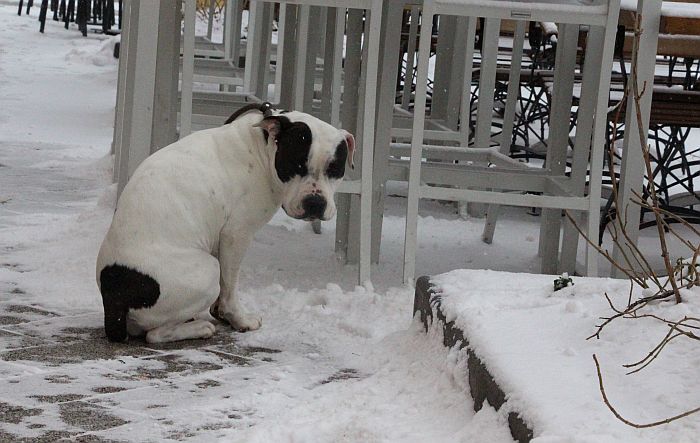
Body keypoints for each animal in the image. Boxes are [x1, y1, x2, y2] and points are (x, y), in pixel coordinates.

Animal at [95, 104, 352, 344]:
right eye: (296, 164)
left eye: (335, 169)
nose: (315, 202)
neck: (263, 147)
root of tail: (113, 298)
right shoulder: (236, 235)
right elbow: (230, 287)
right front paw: (239, 319)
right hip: (207, 271)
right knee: (154, 334)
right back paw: (198, 328)